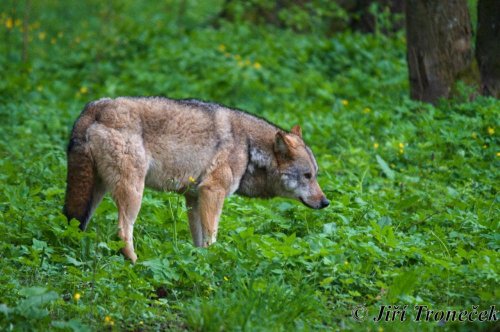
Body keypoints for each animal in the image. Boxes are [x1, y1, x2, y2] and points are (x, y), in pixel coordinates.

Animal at [62, 97, 330, 264]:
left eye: (315, 175)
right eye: (307, 176)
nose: (325, 202)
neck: (248, 147)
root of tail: (94, 108)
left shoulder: (193, 197)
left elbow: (198, 239)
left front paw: (200, 262)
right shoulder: (213, 192)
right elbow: (212, 236)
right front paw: (214, 261)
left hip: (96, 193)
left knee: (78, 223)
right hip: (133, 193)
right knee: (122, 230)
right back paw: (135, 262)